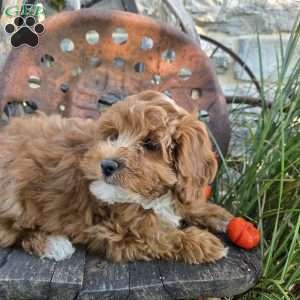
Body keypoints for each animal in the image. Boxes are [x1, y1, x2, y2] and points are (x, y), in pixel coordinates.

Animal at [0, 91, 232, 262]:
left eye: (150, 144)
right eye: (113, 136)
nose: (107, 164)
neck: (149, 196)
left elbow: (187, 205)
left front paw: (220, 216)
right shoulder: (113, 231)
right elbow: (161, 237)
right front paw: (203, 243)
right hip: (16, 196)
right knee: (13, 231)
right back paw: (53, 244)